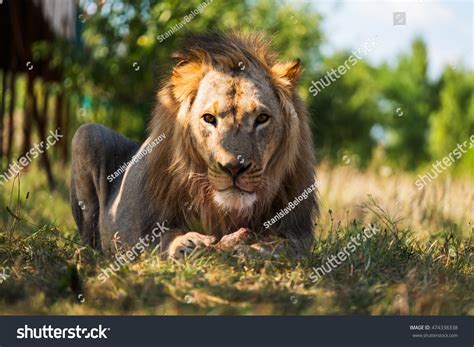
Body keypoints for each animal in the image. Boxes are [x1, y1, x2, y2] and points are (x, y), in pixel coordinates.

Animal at [70, 32, 320, 260]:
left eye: (262, 118)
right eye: (209, 118)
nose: (234, 168)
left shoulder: (299, 230)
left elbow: (284, 245)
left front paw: (255, 249)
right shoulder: (145, 228)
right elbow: (163, 238)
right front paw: (187, 243)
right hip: (87, 134)